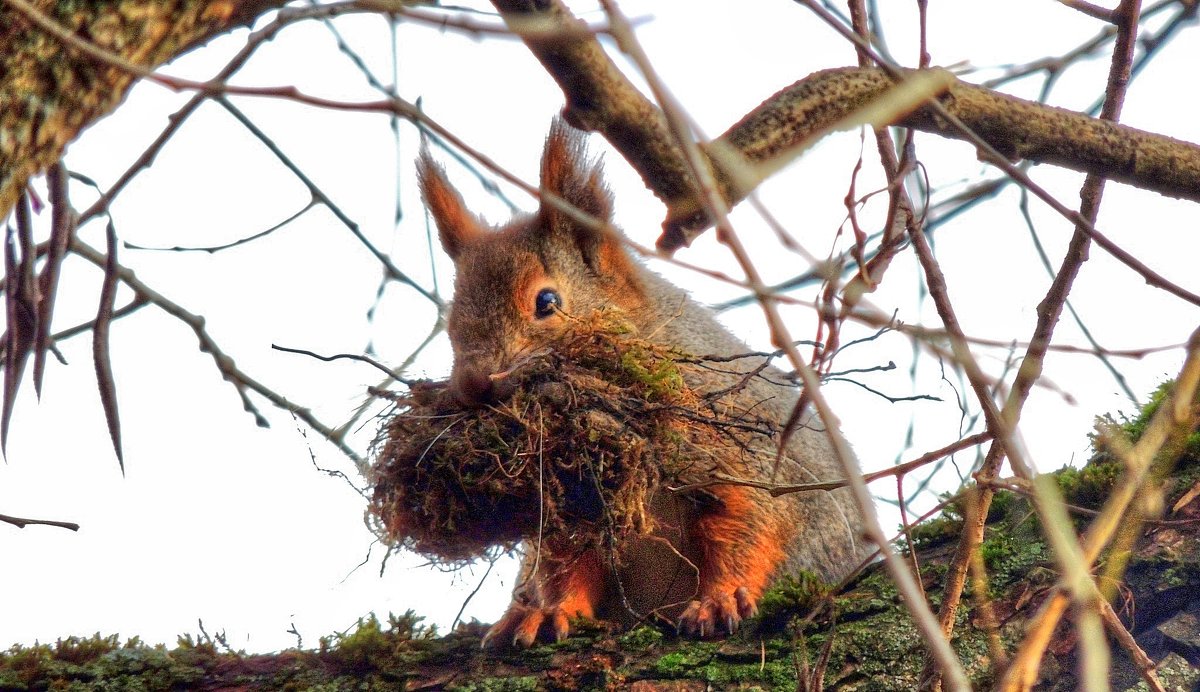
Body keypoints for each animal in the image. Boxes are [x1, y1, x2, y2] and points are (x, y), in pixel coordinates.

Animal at [417, 119, 868, 647]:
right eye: (450, 323)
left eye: (547, 302)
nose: (475, 384)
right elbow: (568, 562)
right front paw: (550, 611)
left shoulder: (747, 449)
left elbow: (753, 522)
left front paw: (721, 599)